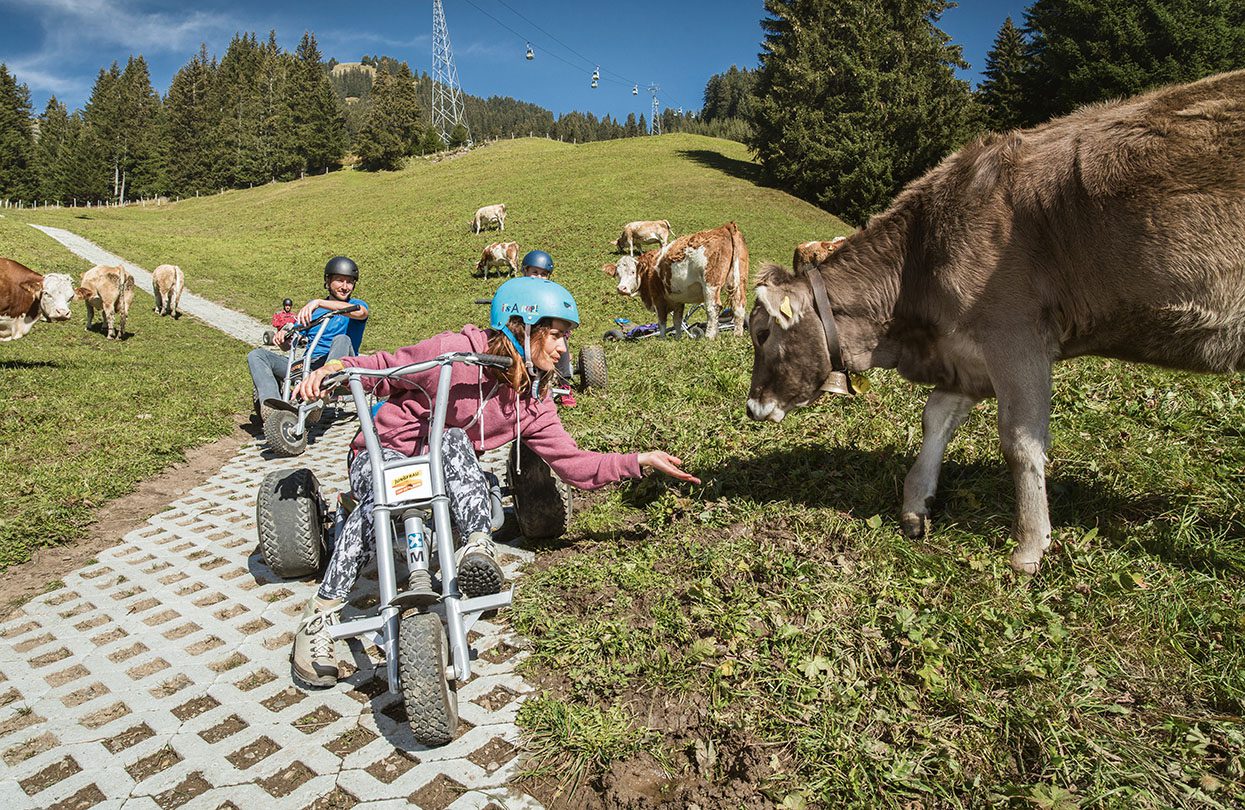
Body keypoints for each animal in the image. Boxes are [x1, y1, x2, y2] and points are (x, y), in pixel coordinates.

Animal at [602, 221, 747, 338]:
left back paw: (709, 336)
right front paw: (678, 338)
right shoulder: (678, 300)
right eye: (617, 274)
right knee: (739, 306)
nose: (621, 289)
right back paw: (737, 335)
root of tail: (725, 227)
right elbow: (677, 321)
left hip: (710, 285)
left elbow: (662, 322)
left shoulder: (658, 297)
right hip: (738, 282)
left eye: (633, 272)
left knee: (713, 308)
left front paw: (662, 340)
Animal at [742, 71, 1245, 577]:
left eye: (762, 333)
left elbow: (1020, 442)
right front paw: (916, 505)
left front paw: (1029, 546)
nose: (751, 407)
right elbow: (935, 417)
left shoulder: (1014, 338)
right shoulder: (968, 354)